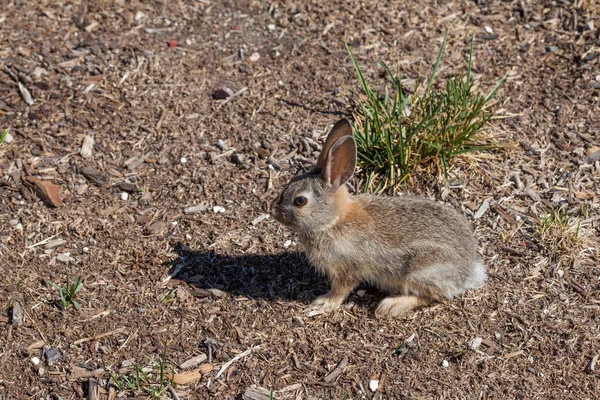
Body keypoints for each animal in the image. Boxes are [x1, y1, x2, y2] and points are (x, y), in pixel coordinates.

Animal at [270, 119, 486, 318]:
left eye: (300, 201)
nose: (274, 210)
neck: (333, 220)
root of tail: (467, 271)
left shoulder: (346, 270)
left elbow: (341, 290)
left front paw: (323, 303)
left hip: (421, 272)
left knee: (430, 296)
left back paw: (390, 305)